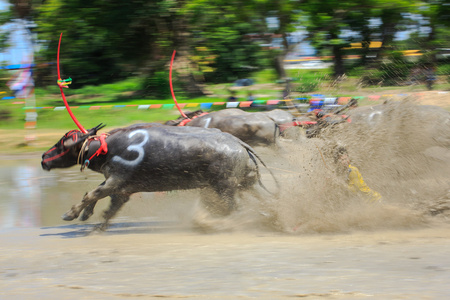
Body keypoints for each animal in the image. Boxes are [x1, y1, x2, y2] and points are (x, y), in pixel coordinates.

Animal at [42, 123, 272, 231]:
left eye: (61, 144)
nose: (44, 158)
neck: (105, 149)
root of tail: (239, 144)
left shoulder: (116, 181)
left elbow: (92, 194)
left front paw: (70, 214)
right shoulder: (121, 190)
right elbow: (107, 208)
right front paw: (92, 223)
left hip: (225, 189)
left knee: (236, 209)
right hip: (248, 183)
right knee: (265, 201)